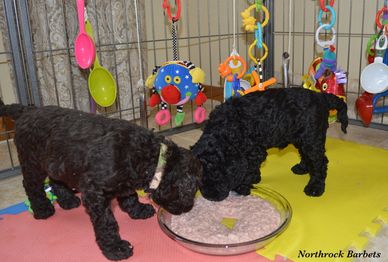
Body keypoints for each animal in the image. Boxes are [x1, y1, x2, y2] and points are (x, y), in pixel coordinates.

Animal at [0, 100, 200, 260]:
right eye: (191, 190)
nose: (189, 207)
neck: (149, 156)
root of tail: (27, 110)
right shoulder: (94, 192)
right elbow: (107, 222)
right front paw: (115, 248)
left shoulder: (127, 179)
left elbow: (129, 196)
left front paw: (138, 210)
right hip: (32, 162)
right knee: (31, 185)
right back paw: (42, 210)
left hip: (57, 161)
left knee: (56, 179)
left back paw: (68, 200)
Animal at [192, 87, 348, 201]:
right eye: (201, 179)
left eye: (218, 176)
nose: (209, 196)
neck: (224, 130)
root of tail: (321, 96)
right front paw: (255, 178)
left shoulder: (254, 151)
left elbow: (247, 170)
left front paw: (242, 187)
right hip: (301, 137)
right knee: (308, 156)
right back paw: (302, 168)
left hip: (311, 138)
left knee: (320, 162)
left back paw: (315, 187)